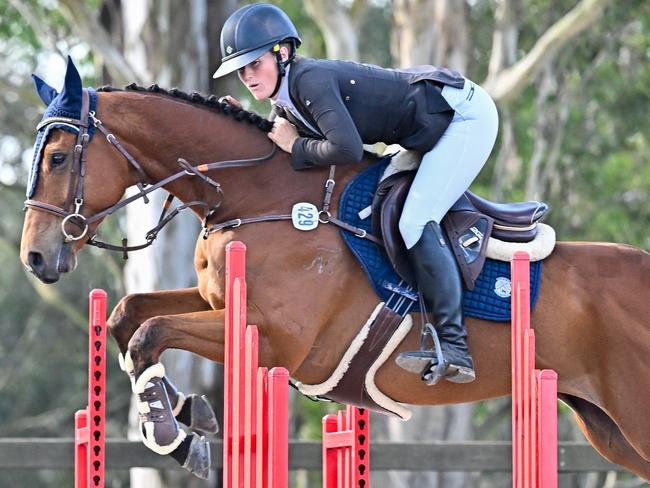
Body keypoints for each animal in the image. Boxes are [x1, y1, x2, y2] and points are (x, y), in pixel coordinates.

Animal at [19, 58, 648, 480]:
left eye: (58, 158)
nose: (35, 258)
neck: (257, 195)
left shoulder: (276, 341)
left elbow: (150, 332)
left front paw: (173, 430)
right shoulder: (219, 304)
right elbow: (129, 317)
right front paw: (180, 415)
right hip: (611, 429)